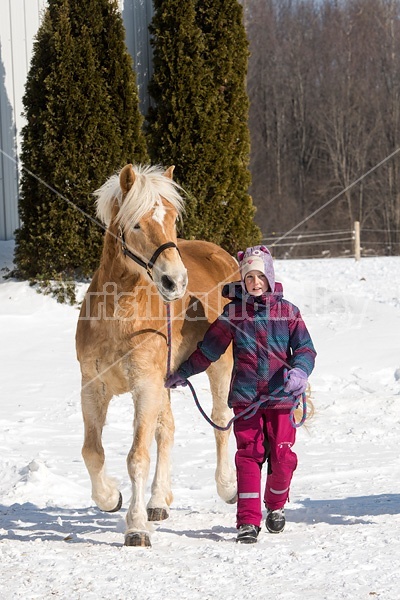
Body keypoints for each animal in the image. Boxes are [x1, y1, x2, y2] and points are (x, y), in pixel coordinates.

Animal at [75, 162, 238, 548]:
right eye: (136, 223)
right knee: (167, 431)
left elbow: (138, 456)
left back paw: (227, 487)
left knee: (220, 419)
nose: (175, 282)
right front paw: (110, 498)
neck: (119, 316)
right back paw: (158, 501)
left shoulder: (145, 386)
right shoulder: (93, 387)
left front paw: (135, 528)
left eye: (173, 219)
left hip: (220, 365)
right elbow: (93, 451)